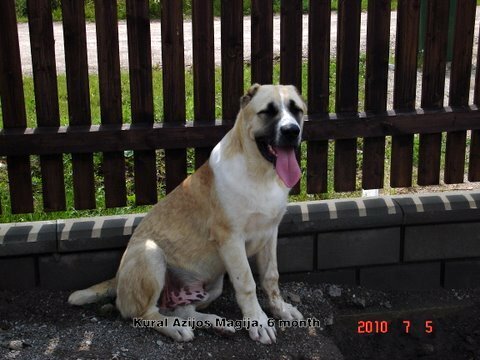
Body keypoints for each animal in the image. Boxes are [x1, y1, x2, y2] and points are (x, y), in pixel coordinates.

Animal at [68, 83, 304, 344]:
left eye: (297, 110)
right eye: (268, 112)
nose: (292, 131)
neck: (261, 174)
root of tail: (118, 277)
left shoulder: (270, 233)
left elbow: (271, 276)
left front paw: (280, 309)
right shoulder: (231, 239)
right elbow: (247, 283)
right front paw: (258, 322)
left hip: (212, 284)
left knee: (181, 309)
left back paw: (214, 323)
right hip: (150, 254)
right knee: (143, 313)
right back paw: (175, 328)